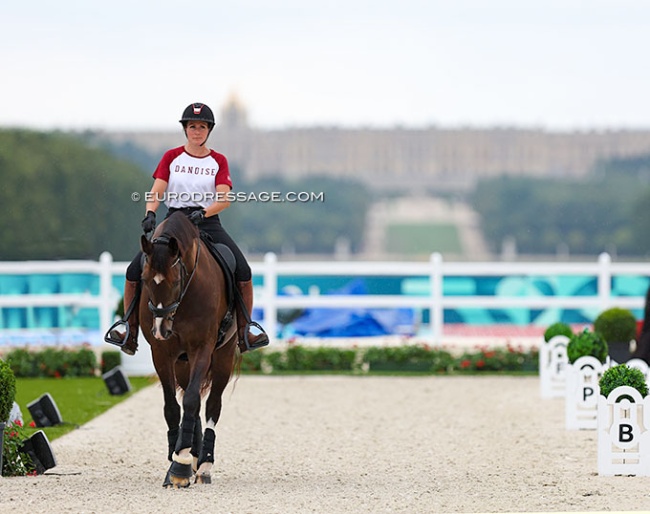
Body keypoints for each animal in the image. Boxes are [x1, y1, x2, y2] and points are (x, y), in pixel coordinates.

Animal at [139, 210, 238, 486]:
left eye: (175, 281)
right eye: (144, 280)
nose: (160, 329)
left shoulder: (202, 348)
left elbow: (193, 401)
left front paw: (180, 466)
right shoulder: (161, 353)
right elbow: (173, 407)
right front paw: (177, 460)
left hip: (223, 357)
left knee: (212, 404)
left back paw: (203, 465)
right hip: (182, 363)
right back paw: (193, 456)